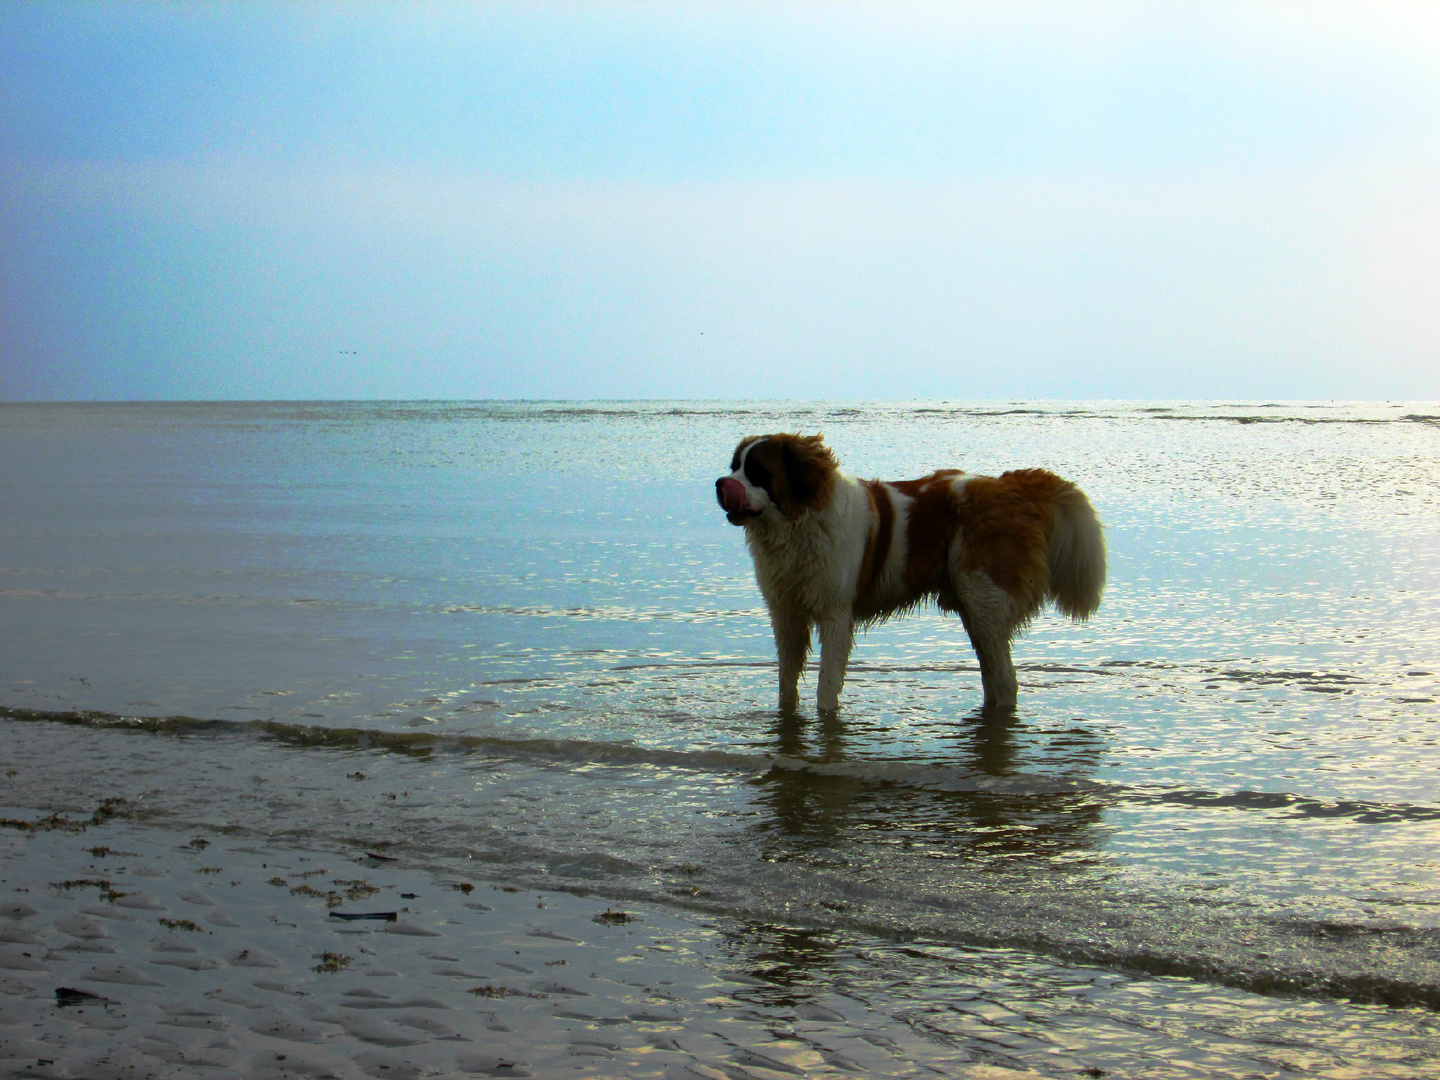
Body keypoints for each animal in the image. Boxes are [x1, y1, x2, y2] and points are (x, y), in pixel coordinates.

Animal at [714, 434, 1105, 714]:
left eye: (757, 472)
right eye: (734, 466)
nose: (720, 483)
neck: (798, 524)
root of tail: (1011, 485)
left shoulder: (835, 614)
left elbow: (827, 681)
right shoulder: (786, 612)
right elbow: (787, 678)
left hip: (986, 600)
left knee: (1006, 678)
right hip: (974, 609)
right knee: (992, 672)